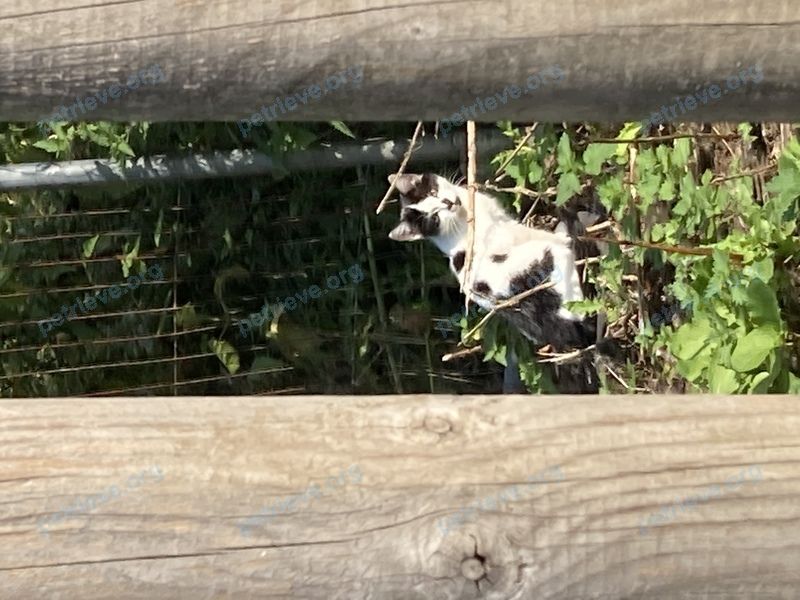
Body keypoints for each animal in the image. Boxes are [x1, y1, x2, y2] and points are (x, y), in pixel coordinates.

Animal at [388, 172, 600, 394]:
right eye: (434, 218)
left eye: (433, 191)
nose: (448, 203)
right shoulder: (507, 232)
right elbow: (542, 234)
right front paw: (565, 228)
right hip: (545, 262)